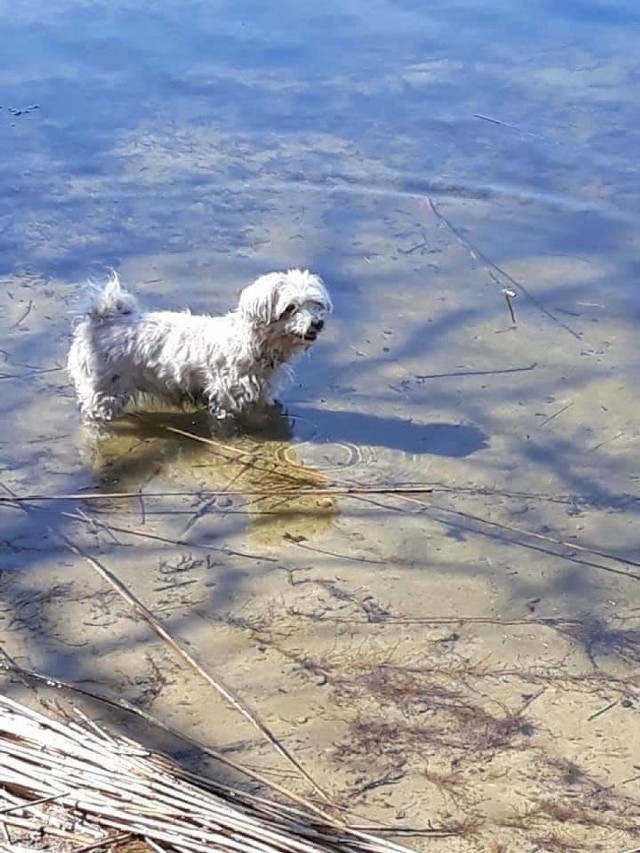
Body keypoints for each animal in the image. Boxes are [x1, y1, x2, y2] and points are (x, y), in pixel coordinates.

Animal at [67, 268, 332, 422]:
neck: (250, 344)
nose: (317, 323)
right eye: (290, 308)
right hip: (103, 391)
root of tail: (101, 319)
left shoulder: (262, 394)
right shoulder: (227, 398)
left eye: (315, 304)